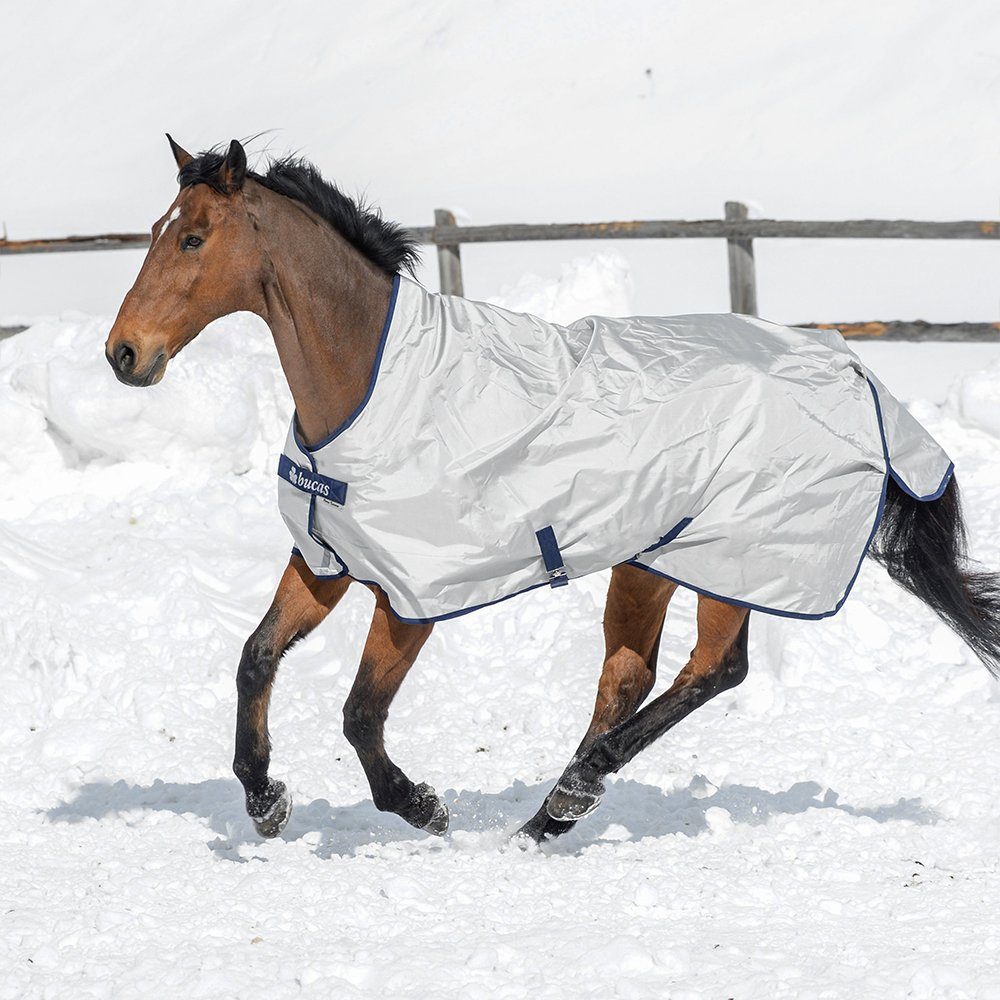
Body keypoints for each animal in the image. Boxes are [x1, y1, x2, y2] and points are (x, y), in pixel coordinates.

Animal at [105, 136, 1000, 844]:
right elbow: (255, 660)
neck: (370, 385)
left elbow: (360, 713)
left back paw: (575, 787)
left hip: (735, 558)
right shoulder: (330, 560)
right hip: (651, 558)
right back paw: (552, 814)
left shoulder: (413, 594)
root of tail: (854, 372)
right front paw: (265, 801)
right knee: (631, 677)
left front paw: (422, 805)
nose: (124, 354)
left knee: (716, 669)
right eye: (155, 232)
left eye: (192, 238)